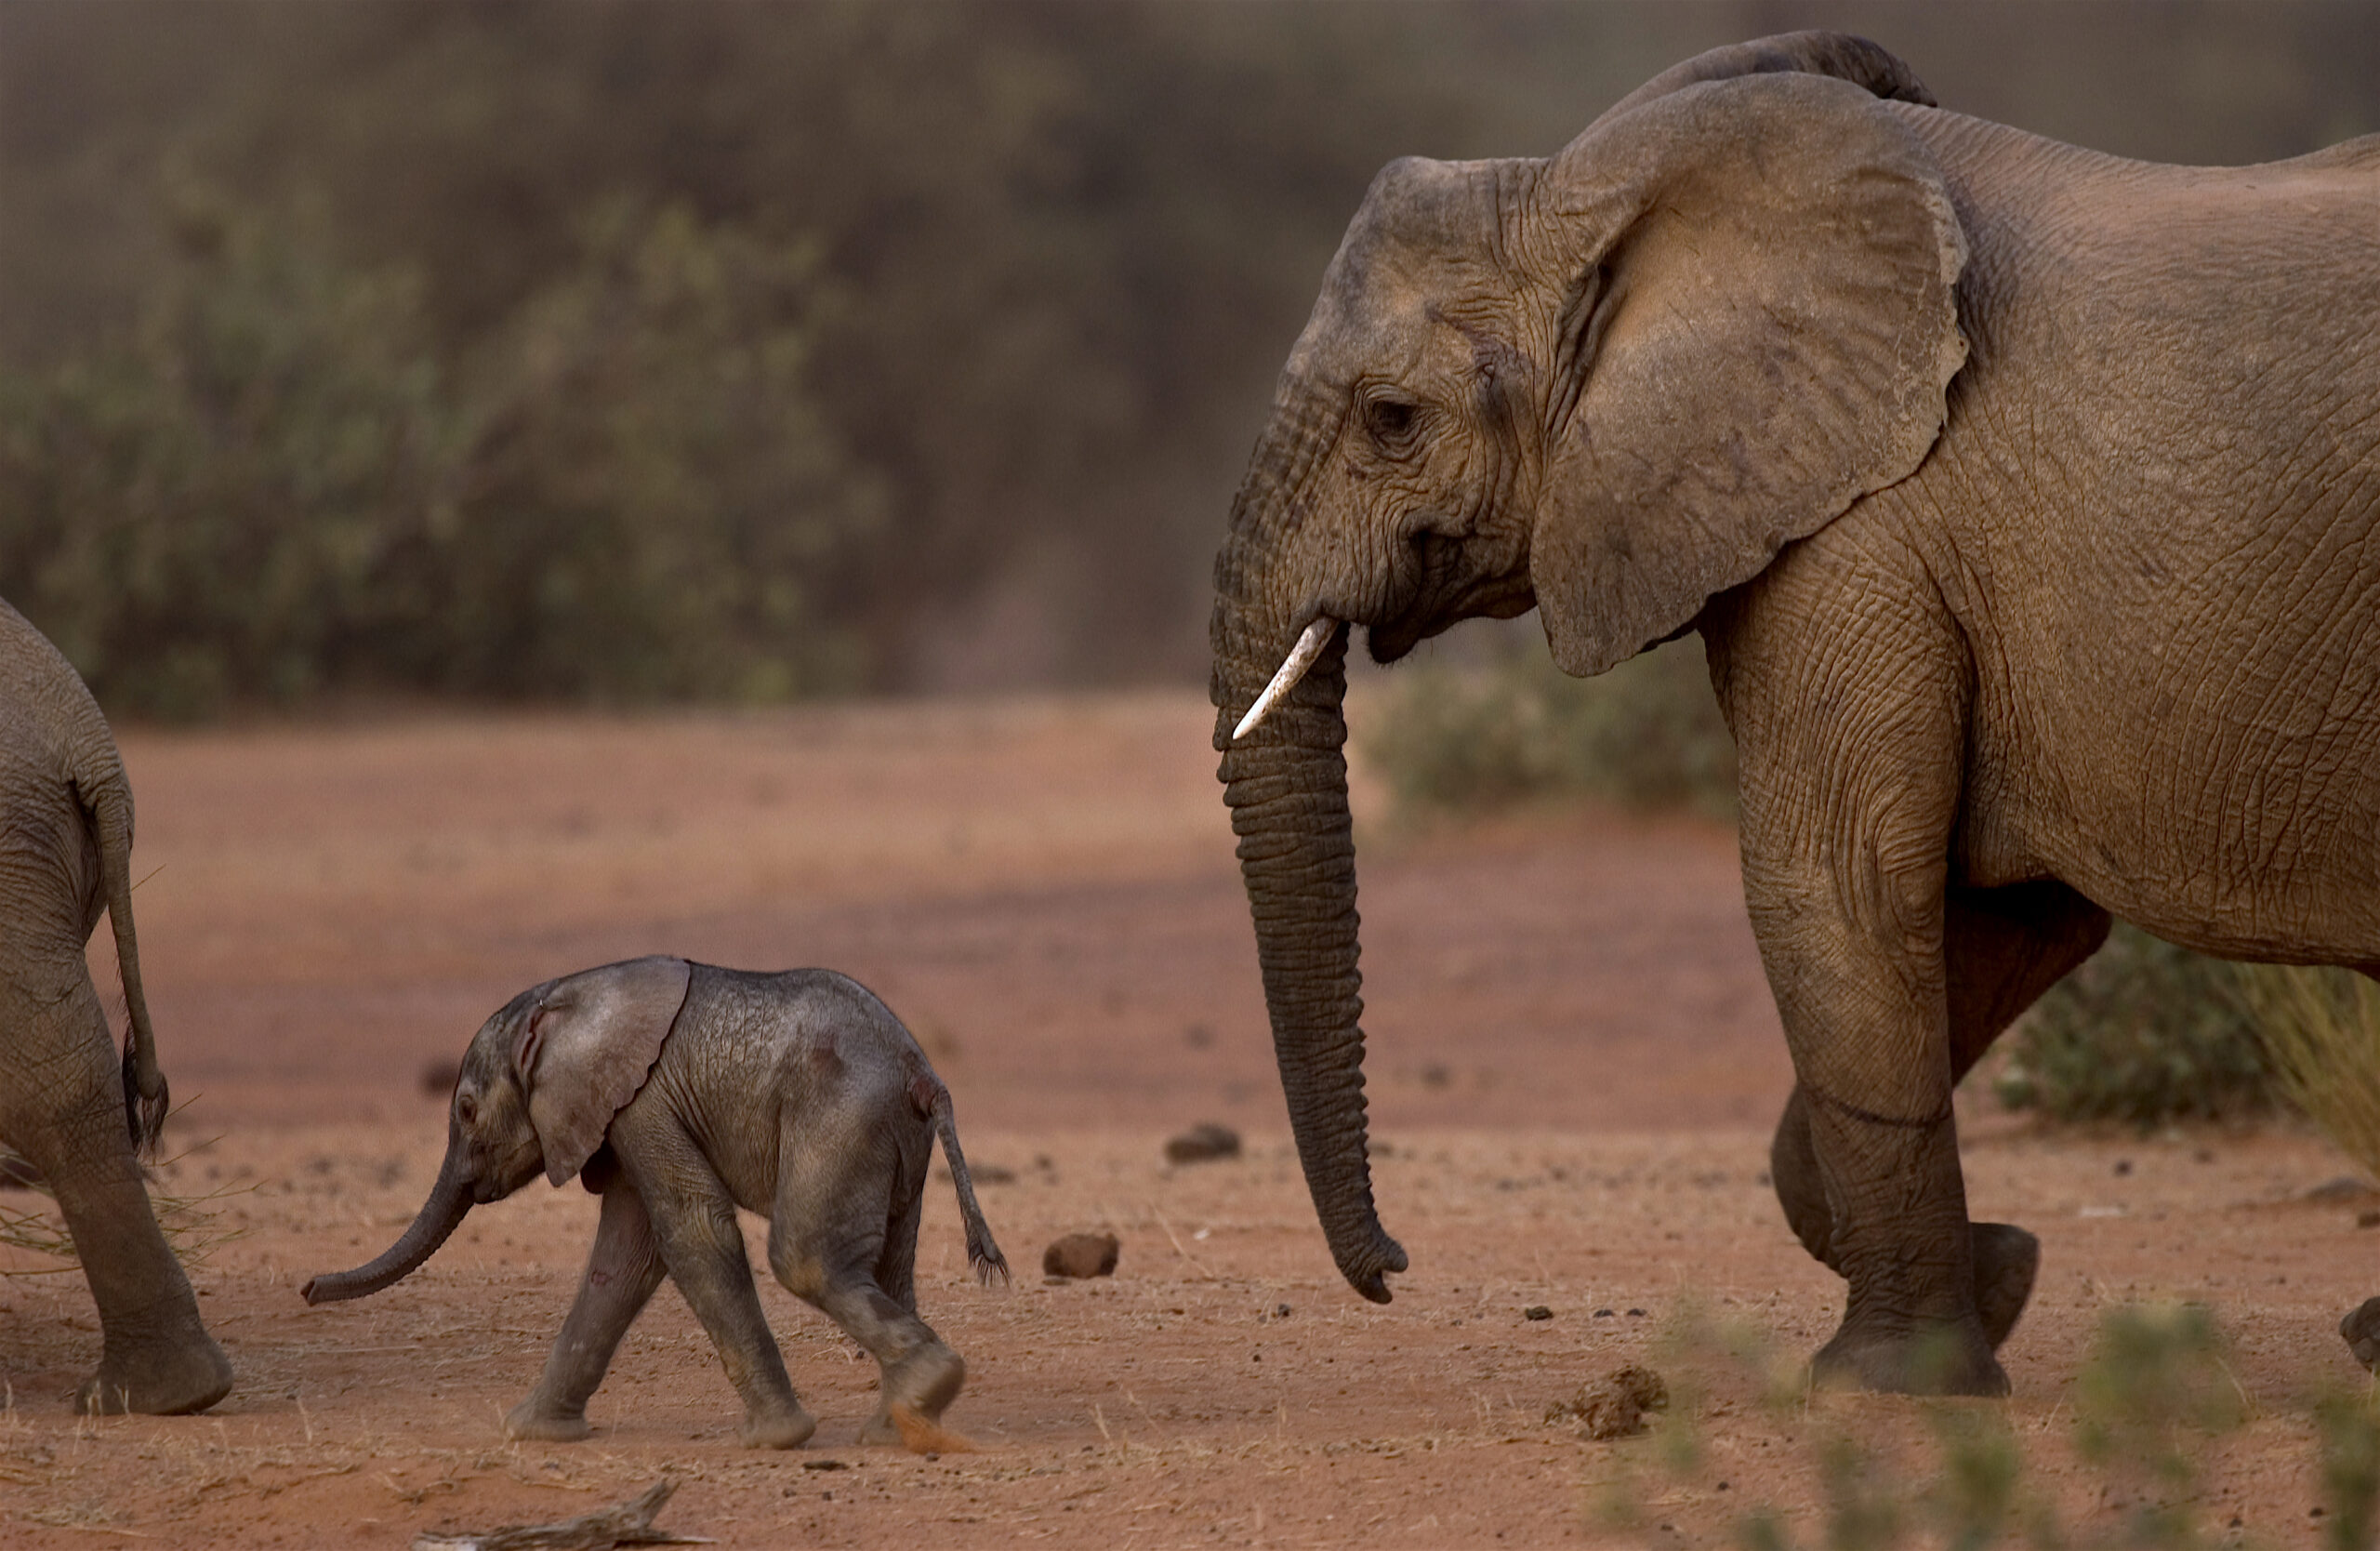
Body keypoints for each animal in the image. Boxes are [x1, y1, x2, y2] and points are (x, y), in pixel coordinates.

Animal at [302, 957, 1009, 1450]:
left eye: (469, 1110)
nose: (307, 1288)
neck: (568, 998)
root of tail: (923, 1073)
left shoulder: (642, 1102)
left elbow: (691, 1229)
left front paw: (773, 1441)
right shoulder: (619, 1113)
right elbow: (624, 1256)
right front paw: (529, 1433)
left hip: (843, 1119)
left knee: (806, 1258)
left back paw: (920, 1397)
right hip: (893, 1141)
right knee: (888, 1265)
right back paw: (901, 1427)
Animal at [1210, 30, 2380, 1395]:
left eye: (1391, 418)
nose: (1394, 1268)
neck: (1598, 193)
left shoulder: (1862, 527)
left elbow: (1833, 886)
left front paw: (1890, 1387)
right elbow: (1997, 921)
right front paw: (2007, 1278)